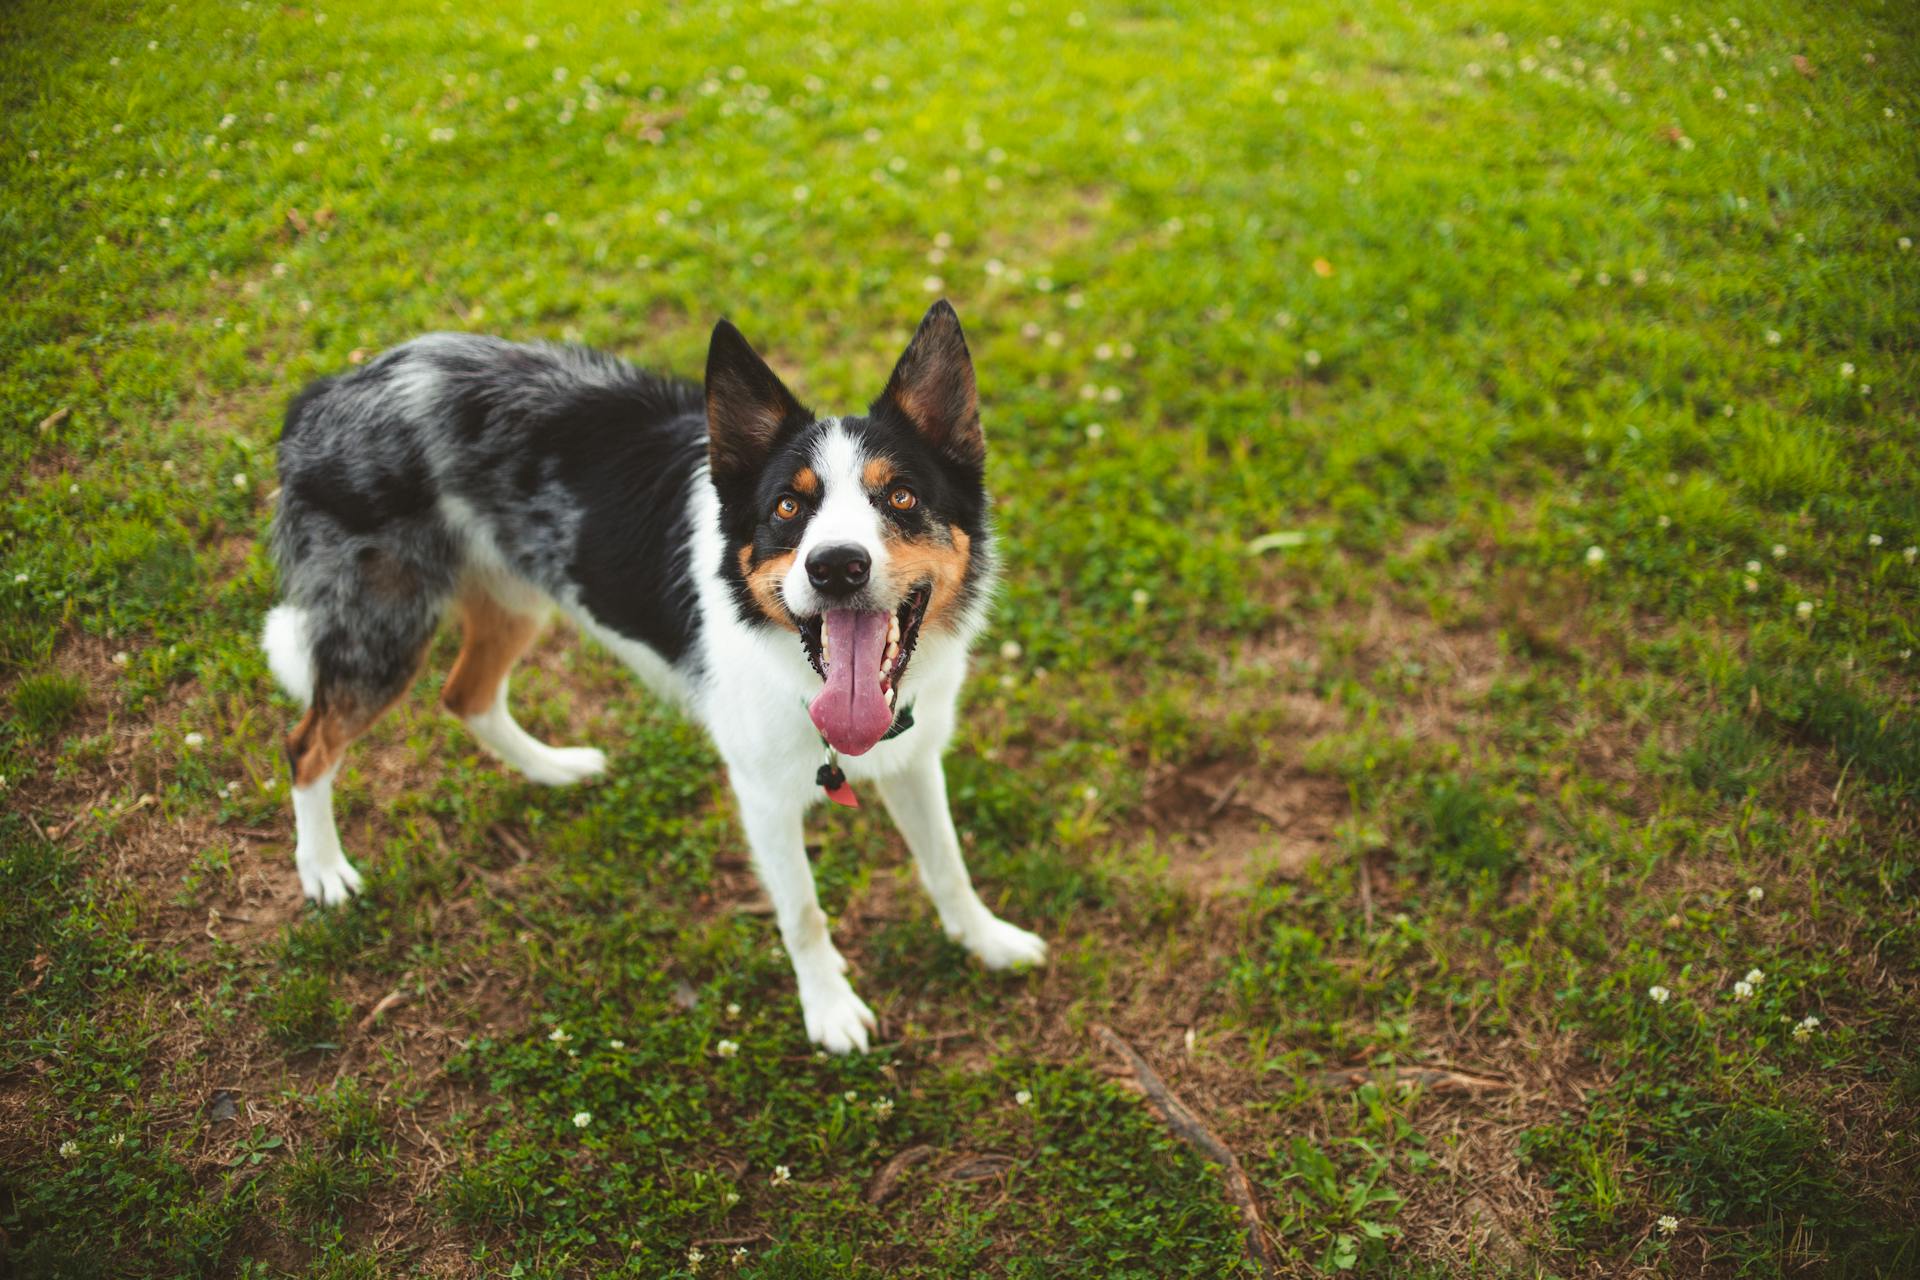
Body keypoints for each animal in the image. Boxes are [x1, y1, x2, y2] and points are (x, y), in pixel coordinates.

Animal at [261, 303, 1044, 1051]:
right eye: (788, 507)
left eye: (902, 497)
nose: (836, 567)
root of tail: (328, 392)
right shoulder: (763, 797)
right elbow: (803, 912)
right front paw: (829, 1010)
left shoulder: (913, 758)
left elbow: (947, 863)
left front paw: (988, 941)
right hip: (380, 633)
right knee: (307, 746)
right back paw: (324, 871)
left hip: (513, 597)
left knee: (466, 696)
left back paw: (553, 768)